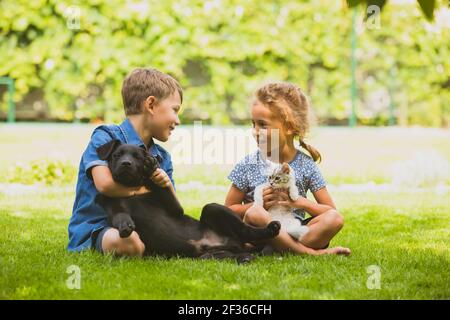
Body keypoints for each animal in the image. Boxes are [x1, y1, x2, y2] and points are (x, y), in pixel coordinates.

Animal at [94, 139, 280, 262]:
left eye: (137, 157)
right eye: (117, 155)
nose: (126, 163)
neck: (131, 188)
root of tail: (234, 243)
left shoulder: (174, 208)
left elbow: (161, 187)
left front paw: (151, 168)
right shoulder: (111, 205)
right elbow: (119, 215)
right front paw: (126, 225)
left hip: (213, 208)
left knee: (247, 230)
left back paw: (271, 229)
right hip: (209, 256)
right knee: (238, 254)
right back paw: (245, 257)